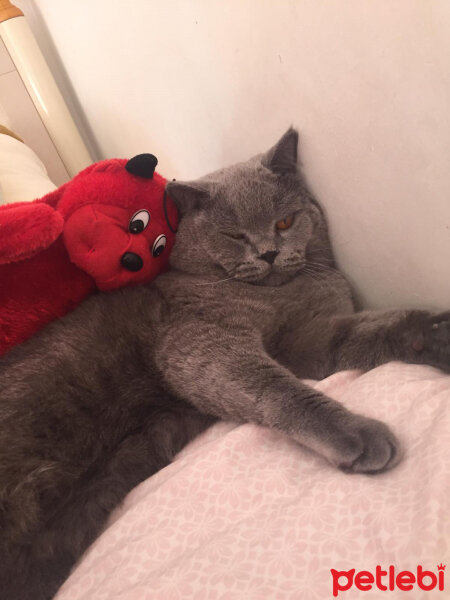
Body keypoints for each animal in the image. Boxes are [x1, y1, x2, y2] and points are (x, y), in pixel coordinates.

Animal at [0, 129, 448, 596]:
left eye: (284, 222)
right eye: (234, 236)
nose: (268, 253)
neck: (280, 294)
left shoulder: (302, 340)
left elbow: (368, 332)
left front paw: (435, 334)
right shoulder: (197, 342)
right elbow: (277, 388)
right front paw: (357, 435)